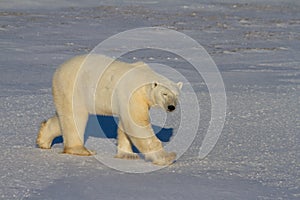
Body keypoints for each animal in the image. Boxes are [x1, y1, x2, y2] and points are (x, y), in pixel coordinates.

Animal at [37, 54, 183, 166]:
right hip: (73, 87)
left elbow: (125, 124)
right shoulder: (133, 95)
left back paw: (43, 139)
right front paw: (166, 157)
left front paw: (127, 155)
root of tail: (59, 69)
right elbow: (137, 124)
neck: (143, 79)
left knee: (63, 116)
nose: (171, 107)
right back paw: (82, 150)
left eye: (176, 95)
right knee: (75, 116)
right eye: (164, 94)